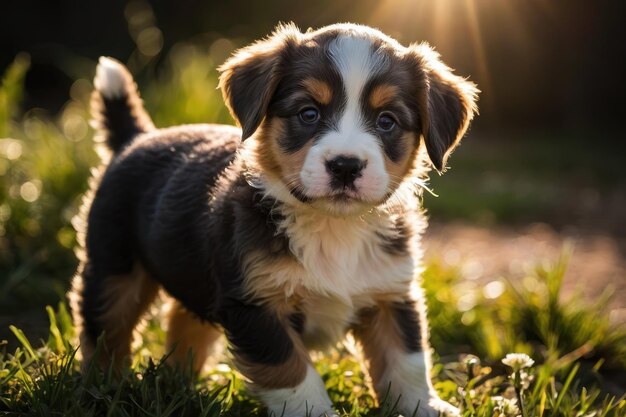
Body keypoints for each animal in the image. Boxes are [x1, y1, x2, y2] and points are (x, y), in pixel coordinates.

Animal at [69, 23, 478, 416]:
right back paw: (103, 387)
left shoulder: (391, 294)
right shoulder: (256, 304)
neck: (334, 227)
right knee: (104, 330)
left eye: (387, 121)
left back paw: (177, 384)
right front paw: (314, 412)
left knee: (185, 323)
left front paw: (425, 408)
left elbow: (406, 360)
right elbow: (290, 369)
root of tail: (135, 138)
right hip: (113, 268)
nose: (345, 166)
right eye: (309, 113)